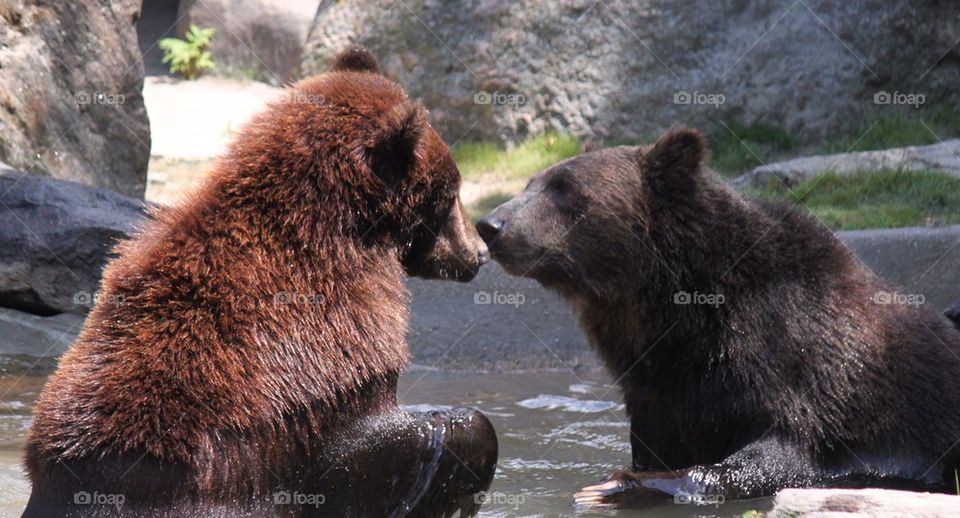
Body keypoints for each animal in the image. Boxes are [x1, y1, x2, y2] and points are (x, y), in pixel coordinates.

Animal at [476, 128, 960, 507]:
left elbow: (783, 449)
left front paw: (620, 485)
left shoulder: (801, 363)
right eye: (532, 182)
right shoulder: (662, 388)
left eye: (564, 187)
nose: (490, 224)